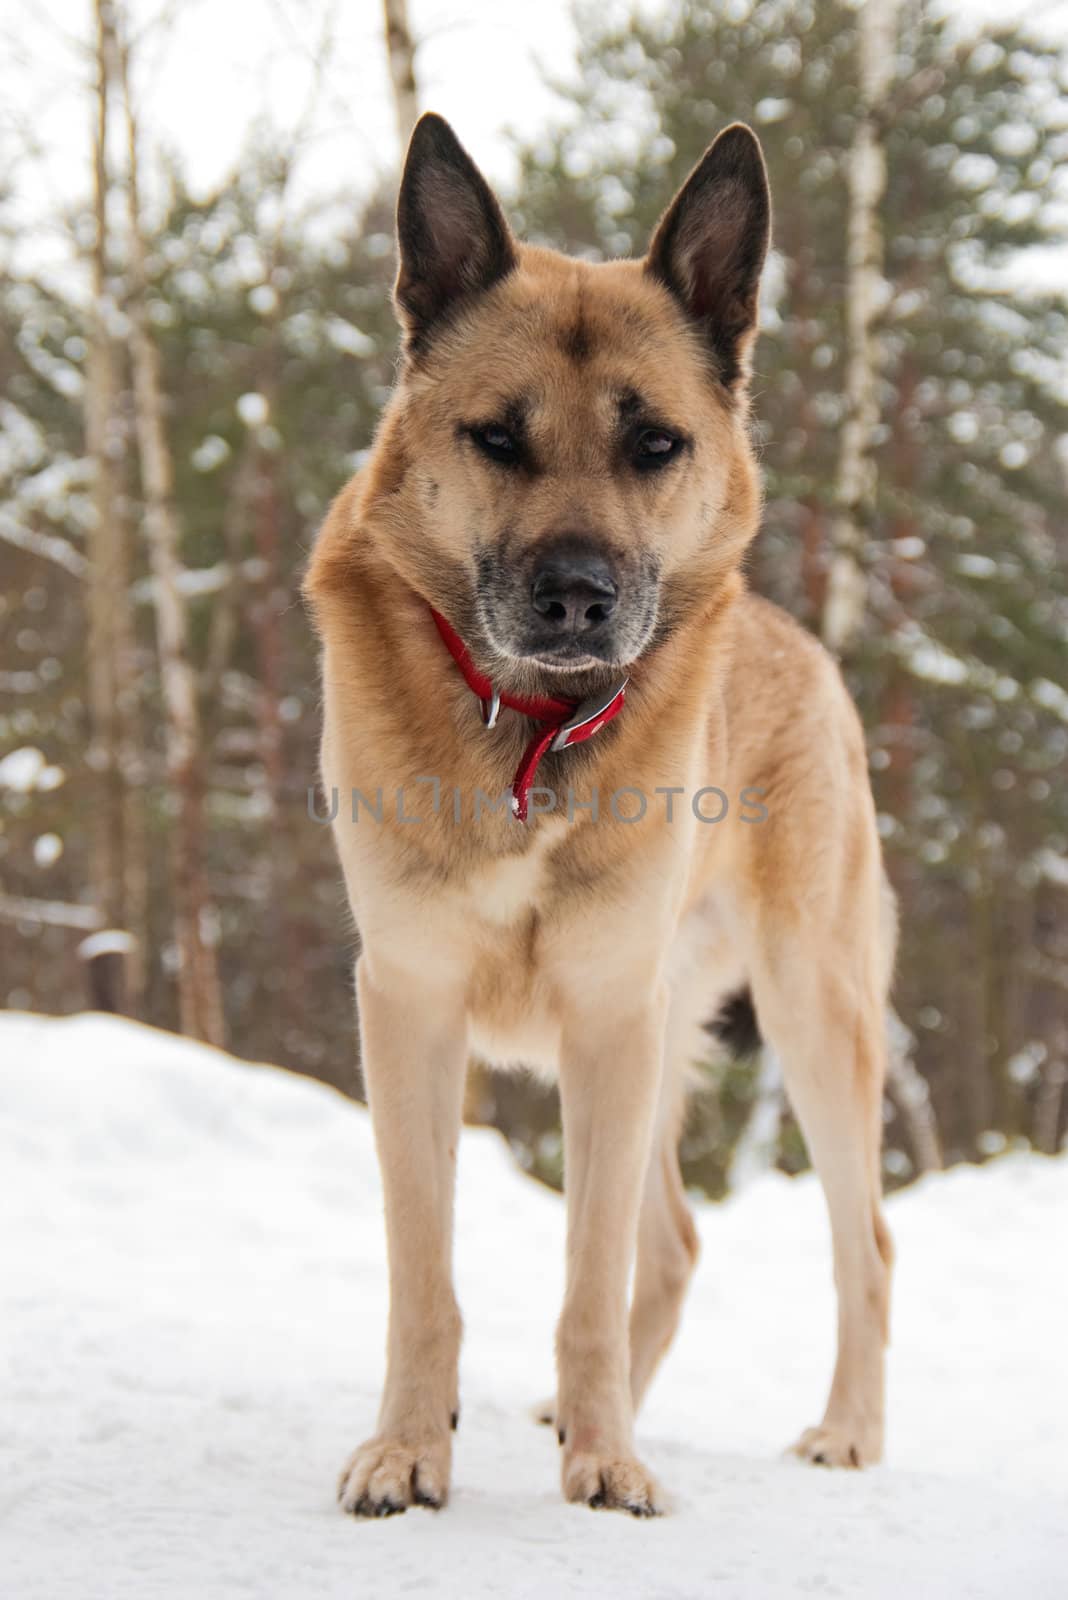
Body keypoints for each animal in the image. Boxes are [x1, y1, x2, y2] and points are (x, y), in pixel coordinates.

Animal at [303, 109, 895, 1510]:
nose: (577, 596)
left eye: (654, 444)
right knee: (673, 1241)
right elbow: (426, 1272)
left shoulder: (610, 1018)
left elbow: (587, 1274)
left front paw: (610, 1462)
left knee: (860, 1243)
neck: (530, 730)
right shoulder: (409, 1007)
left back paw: (841, 1430)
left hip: (811, 1011)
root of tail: (808, 651)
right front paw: (410, 1448)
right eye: (497, 437)